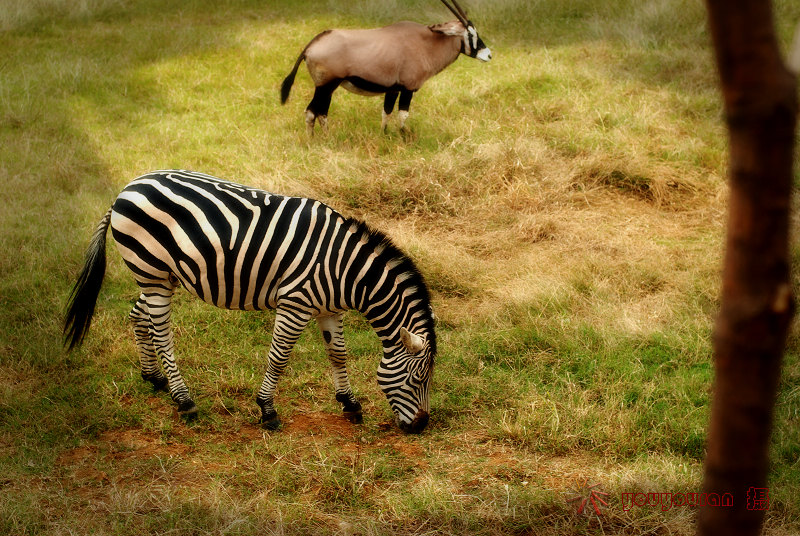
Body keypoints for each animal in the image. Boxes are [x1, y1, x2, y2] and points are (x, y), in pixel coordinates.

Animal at [62, 170, 438, 434]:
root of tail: (127, 188)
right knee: (162, 333)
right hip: (152, 273)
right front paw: (267, 410)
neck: (346, 270)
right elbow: (279, 358)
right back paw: (184, 400)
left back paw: (154, 378)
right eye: (417, 380)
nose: (421, 427)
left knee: (138, 315)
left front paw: (349, 403)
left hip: (160, 276)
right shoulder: (295, 304)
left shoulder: (330, 309)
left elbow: (338, 354)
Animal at [278, 0, 490, 135]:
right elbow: (403, 115)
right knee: (312, 112)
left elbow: (386, 112)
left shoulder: (393, 89)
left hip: (327, 88)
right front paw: (405, 136)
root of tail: (311, 45)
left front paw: (384, 134)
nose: (488, 55)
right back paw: (312, 141)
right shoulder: (407, 88)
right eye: (471, 34)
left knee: (321, 113)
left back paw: (327, 138)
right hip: (325, 86)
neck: (426, 43)